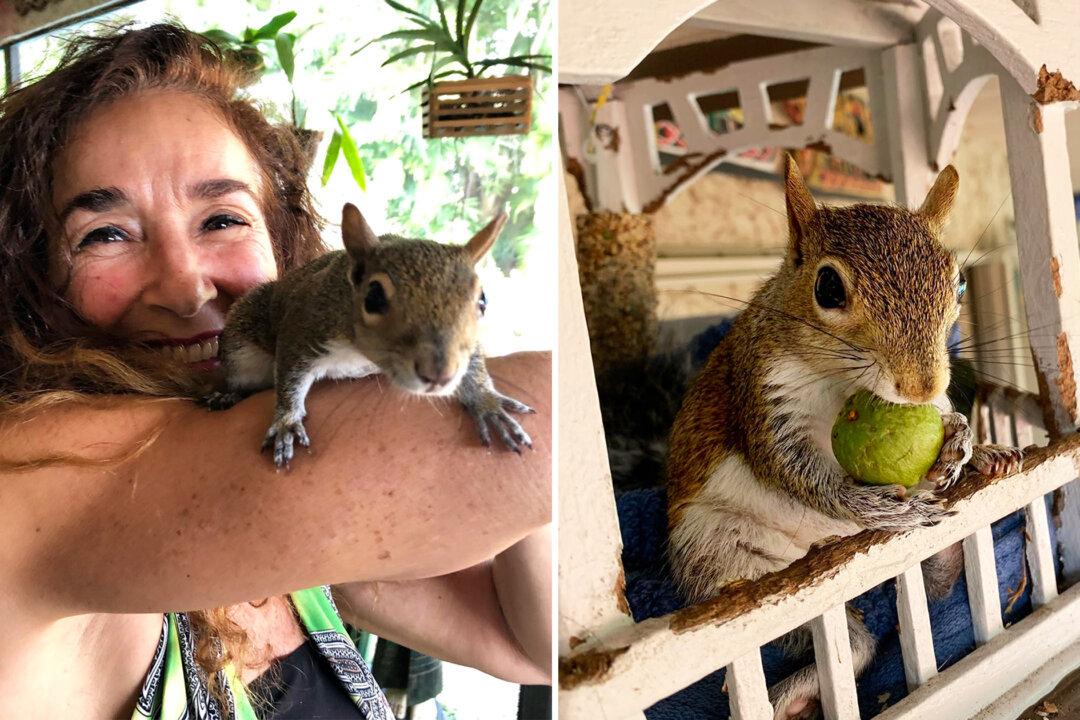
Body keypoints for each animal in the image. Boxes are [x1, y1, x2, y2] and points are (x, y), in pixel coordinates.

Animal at [206, 203, 534, 468]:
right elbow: (289, 376)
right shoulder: (303, 325)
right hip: (242, 348)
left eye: (483, 301)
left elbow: (474, 362)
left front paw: (486, 402)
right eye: (374, 297)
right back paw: (227, 395)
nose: (439, 374)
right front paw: (287, 421)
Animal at [665, 156, 1023, 720]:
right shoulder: (766, 393)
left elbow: (945, 417)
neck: (845, 383)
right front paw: (870, 504)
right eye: (828, 288)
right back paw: (790, 694)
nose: (921, 385)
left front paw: (965, 441)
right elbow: (792, 468)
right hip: (727, 557)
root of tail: (828, 542)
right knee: (848, 644)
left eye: (960, 284)